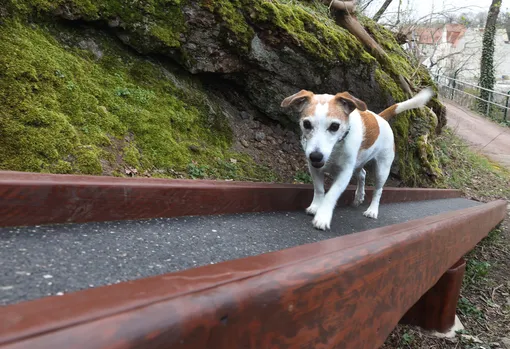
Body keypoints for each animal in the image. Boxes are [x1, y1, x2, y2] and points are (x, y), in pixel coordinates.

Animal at [280, 86, 432, 230]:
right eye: (306, 124)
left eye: (334, 126)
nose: (316, 156)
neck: (337, 147)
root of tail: (381, 118)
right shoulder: (314, 168)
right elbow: (319, 189)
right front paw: (316, 206)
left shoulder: (345, 173)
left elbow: (331, 194)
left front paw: (323, 216)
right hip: (358, 163)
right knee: (363, 174)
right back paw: (359, 196)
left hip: (382, 170)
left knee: (378, 190)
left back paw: (372, 210)